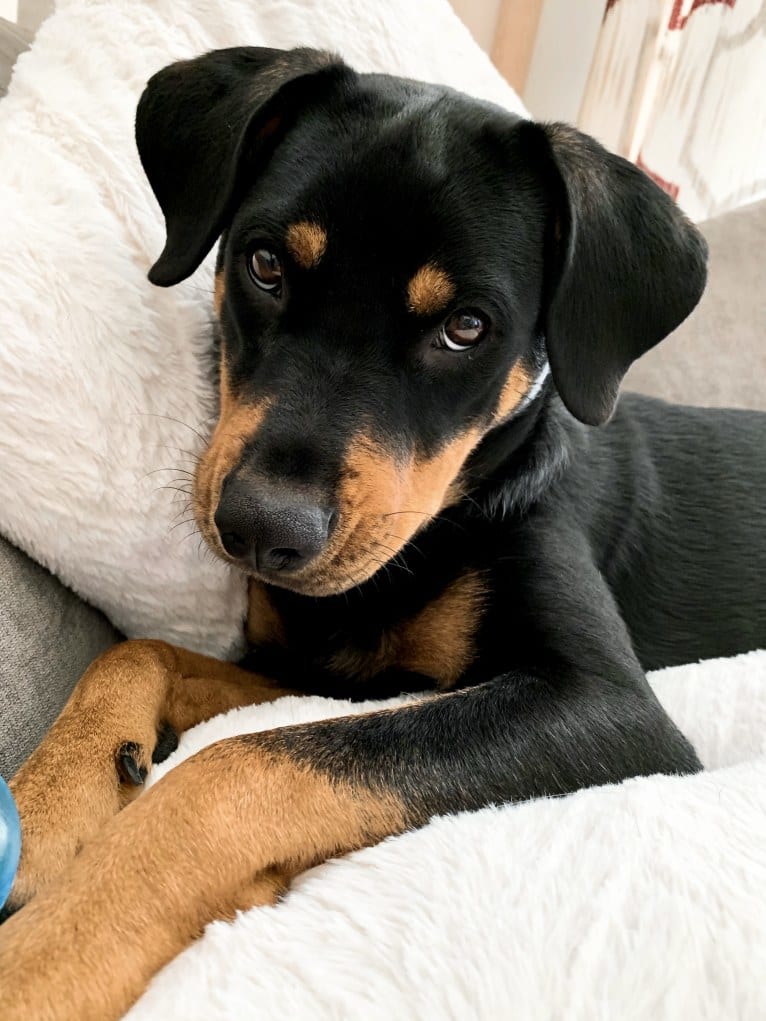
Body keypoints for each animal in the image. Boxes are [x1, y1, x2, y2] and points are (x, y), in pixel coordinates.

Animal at [1, 43, 766, 1016]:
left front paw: (50, 950)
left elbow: (240, 768)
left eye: (466, 327)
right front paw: (52, 804)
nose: (262, 529)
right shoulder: (324, 671)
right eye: (264, 264)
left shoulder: (606, 704)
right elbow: (142, 653)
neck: (437, 529)